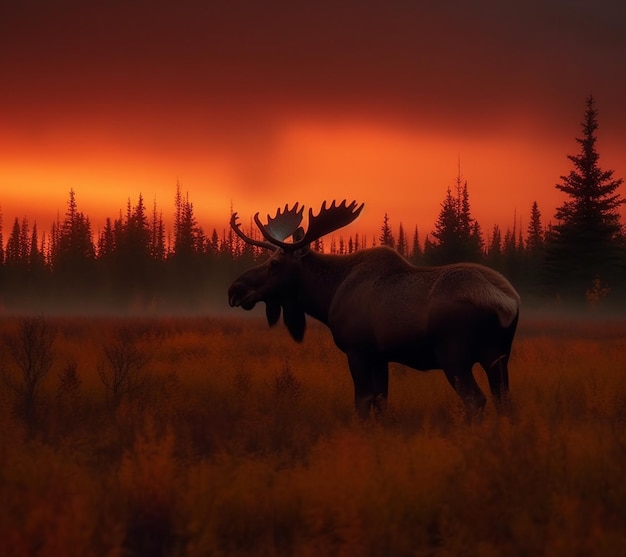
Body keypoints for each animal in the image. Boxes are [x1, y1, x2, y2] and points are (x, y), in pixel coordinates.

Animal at [227, 200, 520, 416]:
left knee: (476, 400)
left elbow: (363, 402)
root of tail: (508, 303)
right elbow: (381, 403)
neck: (328, 295)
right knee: (504, 401)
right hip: (498, 357)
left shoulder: (358, 350)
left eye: (274, 263)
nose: (234, 289)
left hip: (454, 356)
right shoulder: (381, 356)